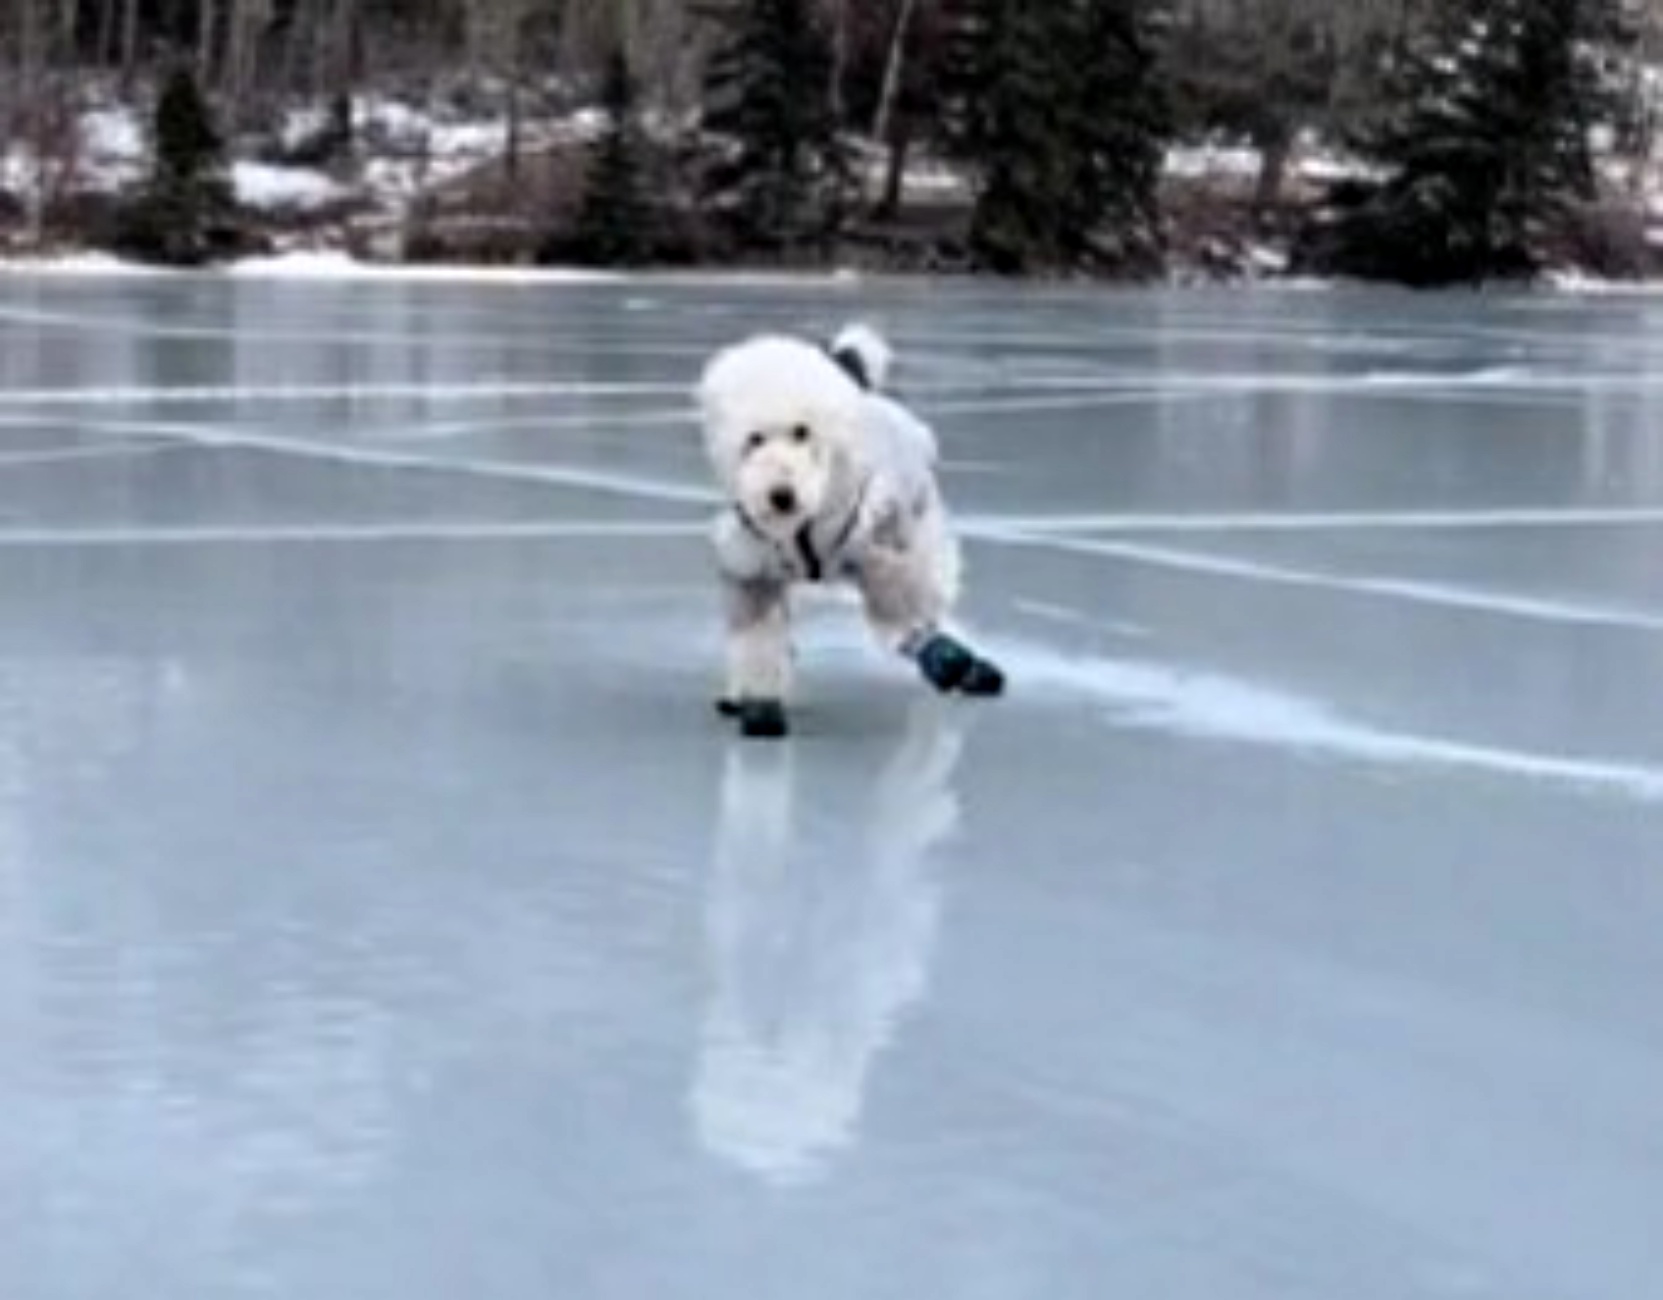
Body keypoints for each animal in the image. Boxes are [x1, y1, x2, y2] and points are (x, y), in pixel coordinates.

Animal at [691, 320, 997, 738]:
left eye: (801, 431)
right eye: (753, 439)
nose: (780, 495)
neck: (808, 520)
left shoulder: (880, 549)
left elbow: (907, 613)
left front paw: (946, 658)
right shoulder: (753, 565)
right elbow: (758, 637)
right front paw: (761, 703)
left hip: (915, 525)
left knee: (929, 598)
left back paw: (965, 664)